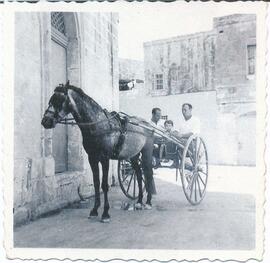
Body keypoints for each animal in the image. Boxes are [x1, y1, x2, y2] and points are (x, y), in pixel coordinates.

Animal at [41, 82, 157, 223]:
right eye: (51, 100)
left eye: (60, 100)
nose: (45, 121)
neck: (97, 125)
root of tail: (148, 125)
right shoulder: (92, 158)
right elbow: (96, 184)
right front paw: (94, 210)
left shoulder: (105, 158)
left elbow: (104, 185)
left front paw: (105, 213)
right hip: (133, 155)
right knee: (139, 174)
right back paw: (139, 201)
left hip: (146, 153)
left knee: (148, 173)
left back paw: (148, 201)